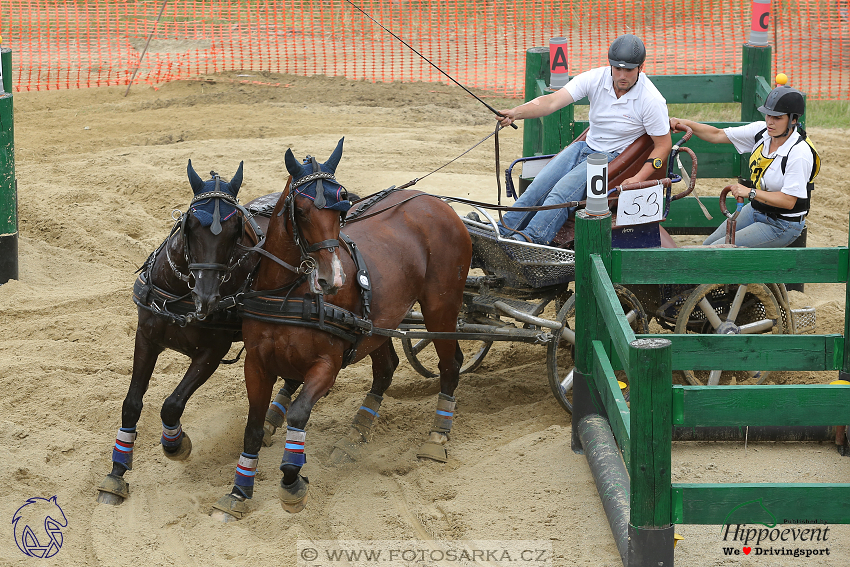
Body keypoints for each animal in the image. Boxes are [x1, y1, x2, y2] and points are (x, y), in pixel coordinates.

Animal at [96, 162, 282, 508]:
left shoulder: (211, 353)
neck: (181, 297)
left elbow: (172, 405)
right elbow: (132, 402)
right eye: (191, 225)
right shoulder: (146, 338)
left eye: (236, 230)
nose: (206, 297)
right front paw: (117, 472)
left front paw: (176, 444)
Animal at [207, 138, 470, 520]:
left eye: (342, 205)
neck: (288, 293)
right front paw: (239, 491)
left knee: (450, 364)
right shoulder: (256, 364)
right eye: (301, 211)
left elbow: (298, 414)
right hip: (378, 323)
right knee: (386, 367)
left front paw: (292, 483)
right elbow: (253, 427)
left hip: (440, 310)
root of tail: (434, 201)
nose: (333, 279)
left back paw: (436, 437)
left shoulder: (326, 366)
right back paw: (354, 434)